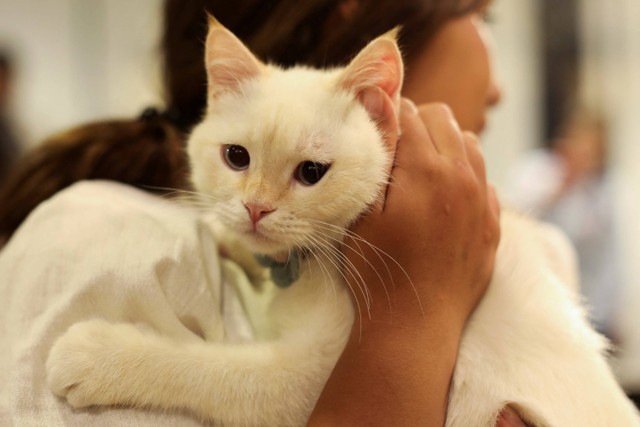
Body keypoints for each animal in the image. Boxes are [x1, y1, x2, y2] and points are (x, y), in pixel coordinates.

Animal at [46, 17, 640, 427]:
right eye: (236, 157)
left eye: (311, 172)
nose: (256, 208)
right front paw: (227, 235)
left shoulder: (308, 379)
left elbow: (215, 371)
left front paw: (97, 356)